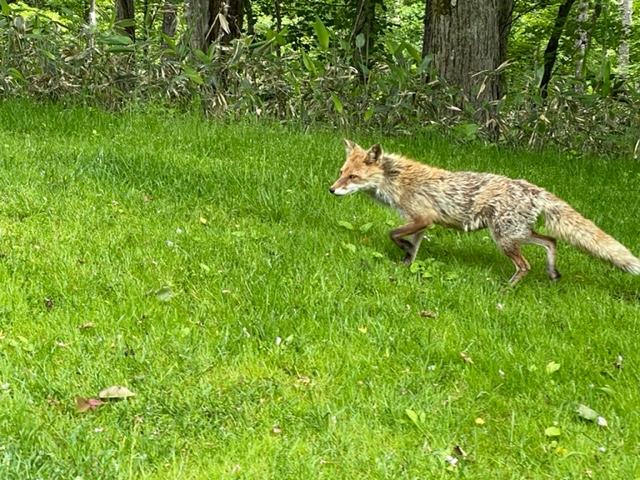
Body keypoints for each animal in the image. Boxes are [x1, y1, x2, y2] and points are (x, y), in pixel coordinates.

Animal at [329, 139, 640, 285]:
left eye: (353, 177)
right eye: (341, 173)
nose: (331, 190)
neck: (397, 179)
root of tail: (532, 188)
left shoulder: (422, 217)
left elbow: (394, 234)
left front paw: (403, 251)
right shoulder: (423, 223)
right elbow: (412, 248)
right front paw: (406, 264)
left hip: (503, 238)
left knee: (525, 265)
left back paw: (507, 289)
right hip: (516, 234)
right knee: (551, 241)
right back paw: (552, 274)